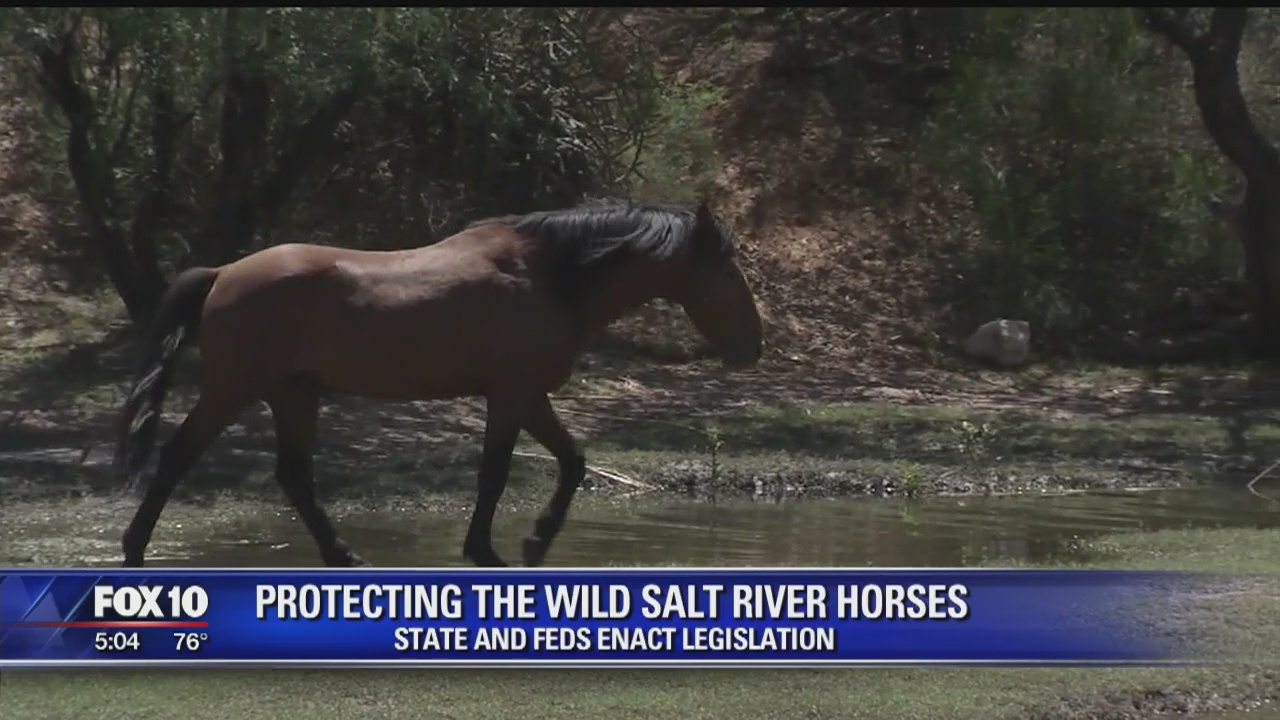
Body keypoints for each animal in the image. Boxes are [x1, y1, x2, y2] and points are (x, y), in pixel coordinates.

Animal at [113, 196, 764, 568]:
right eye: (730, 273)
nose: (753, 347)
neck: (546, 274)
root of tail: (223, 272)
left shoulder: (529, 395)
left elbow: (573, 462)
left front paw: (535, 543)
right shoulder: (510, 395)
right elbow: (495, 475)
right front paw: (490, 552)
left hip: (294, 392)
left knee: (294, 477)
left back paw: (342, 555)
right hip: (236, 388)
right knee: (177, 456)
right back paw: (134, 549)